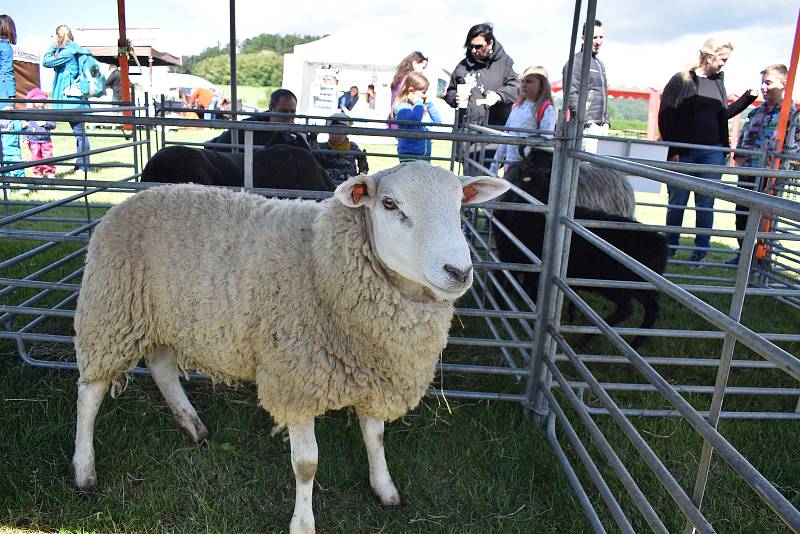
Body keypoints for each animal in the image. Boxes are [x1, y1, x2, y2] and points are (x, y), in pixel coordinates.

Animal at [72, 163, 510, 534]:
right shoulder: (296, 379)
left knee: (161, 365)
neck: (321, 261)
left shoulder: (373, 370)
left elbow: (376, 437)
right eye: (390, 204)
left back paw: (193, 426)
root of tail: (130, 198)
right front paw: (303, 524)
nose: (459, 272)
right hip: (109, 312)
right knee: (90, 393)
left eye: (461, 205)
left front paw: (385, 489)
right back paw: (83, 470)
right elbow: (307, 464)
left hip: (162, 317)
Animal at [496, 163, 664, 350]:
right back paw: (636, 342)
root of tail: (657, 242)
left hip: (618, 285)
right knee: (652, 307)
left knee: (627, 308)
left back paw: (588, 338)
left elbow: (516, 282)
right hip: (641, 285)